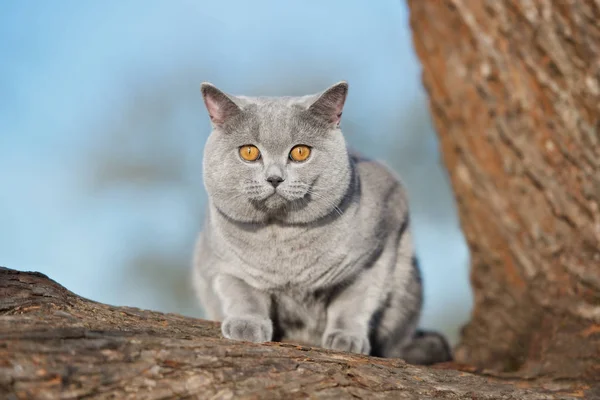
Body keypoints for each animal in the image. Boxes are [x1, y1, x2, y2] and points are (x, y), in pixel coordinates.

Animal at [192, 79, 450, 364]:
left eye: (300, 152)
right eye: (249, 152)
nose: (274, 178)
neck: (281, 240)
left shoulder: (377, 253)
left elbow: (352, 303)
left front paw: (346, 339)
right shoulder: (221, 263)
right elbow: (243, 293)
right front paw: (246, 325)